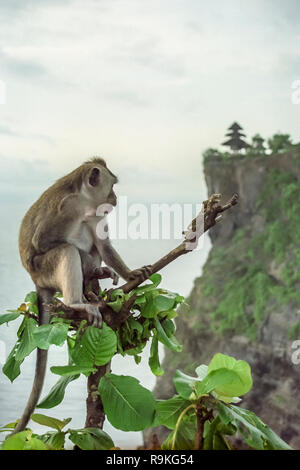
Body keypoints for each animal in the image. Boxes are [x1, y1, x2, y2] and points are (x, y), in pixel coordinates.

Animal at [12, 158, 151, 434]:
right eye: (112, 186)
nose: (114, 198)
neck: (83, 200)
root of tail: (36, 282)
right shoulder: (67, 209)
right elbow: (43, 241)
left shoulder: (95, 213)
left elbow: (103, 245)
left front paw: (130, 273)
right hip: (44, 271)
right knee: (66, 250)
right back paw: (77, 302)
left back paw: (94, 275)